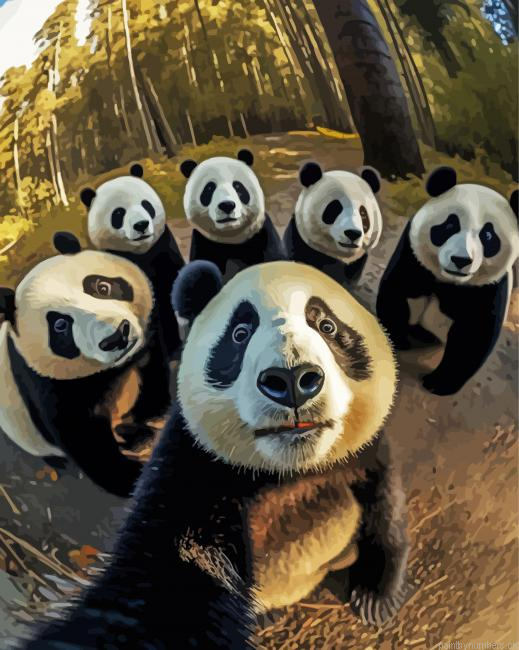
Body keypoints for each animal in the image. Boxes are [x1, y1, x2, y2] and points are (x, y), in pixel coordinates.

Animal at [0, 232, 159, 497]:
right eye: (60, 325)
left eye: (102, 287)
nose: (116, 337)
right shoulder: (46, 384)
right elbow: (83, 439)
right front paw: (131, 479)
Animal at [23, 261, 408, 648]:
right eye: (239, 333)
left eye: (326, 325)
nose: (292, 381)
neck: (291, 469)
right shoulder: (194, 468)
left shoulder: (364, 452)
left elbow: (385, 505)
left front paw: (375, 598)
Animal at [180, 149, 285, 279]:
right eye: (209, 188)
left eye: (238, 186)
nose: (227, 205)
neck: (231, 240)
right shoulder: (202, 244)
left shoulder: (263, 236)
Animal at [377, 166, 519, 396]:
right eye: (450, 225)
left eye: (488, 236)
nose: (461, 260)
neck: (449, 281)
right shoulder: (412, 254)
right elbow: (397, 290)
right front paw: (397, 339)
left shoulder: (491, 286)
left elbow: (473, 335)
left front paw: (438, 384)